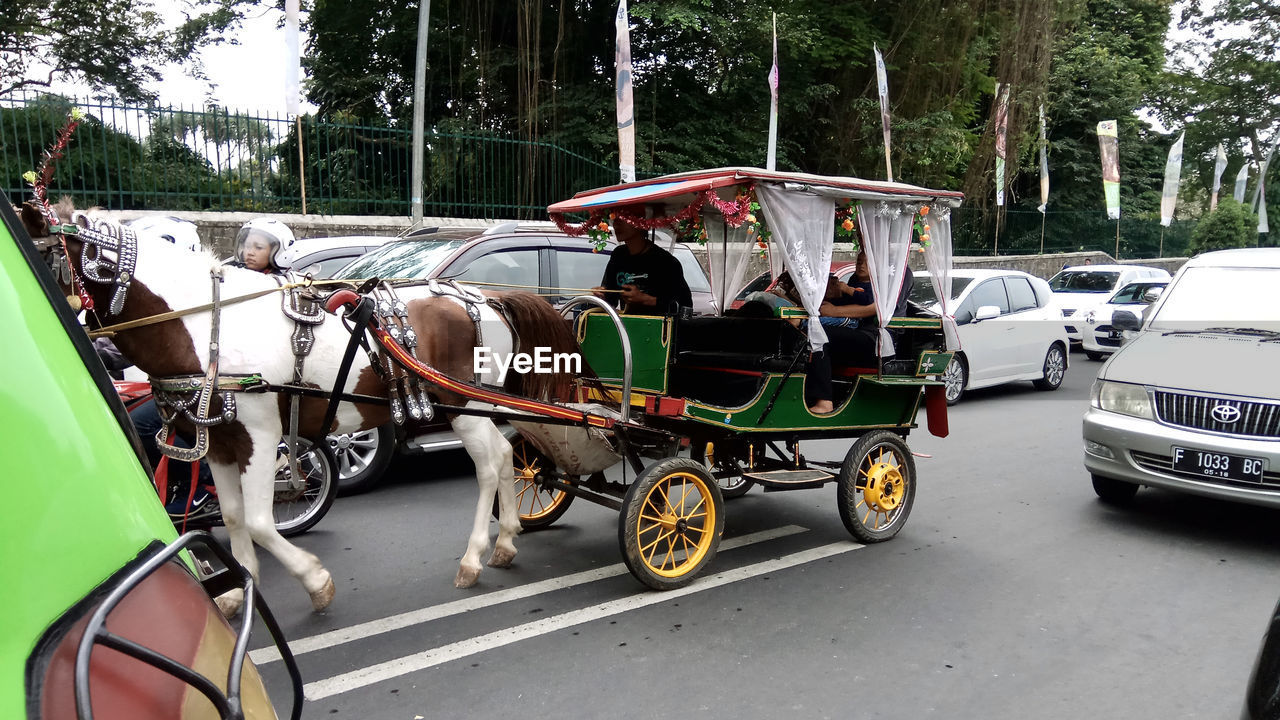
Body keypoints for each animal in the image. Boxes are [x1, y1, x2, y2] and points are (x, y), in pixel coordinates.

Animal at [22, 199, 583, 609]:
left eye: (42, 258)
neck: (208, 326)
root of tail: (483, 298)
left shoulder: (260, 436)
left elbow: (259, 521)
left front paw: (315, 581)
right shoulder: (221, 441)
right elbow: (232, 518)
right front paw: (241, 592)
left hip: (461, 405)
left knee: (488, 467)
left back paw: (473, 557)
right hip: (479, 407)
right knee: (507, 456)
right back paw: (506, 540)